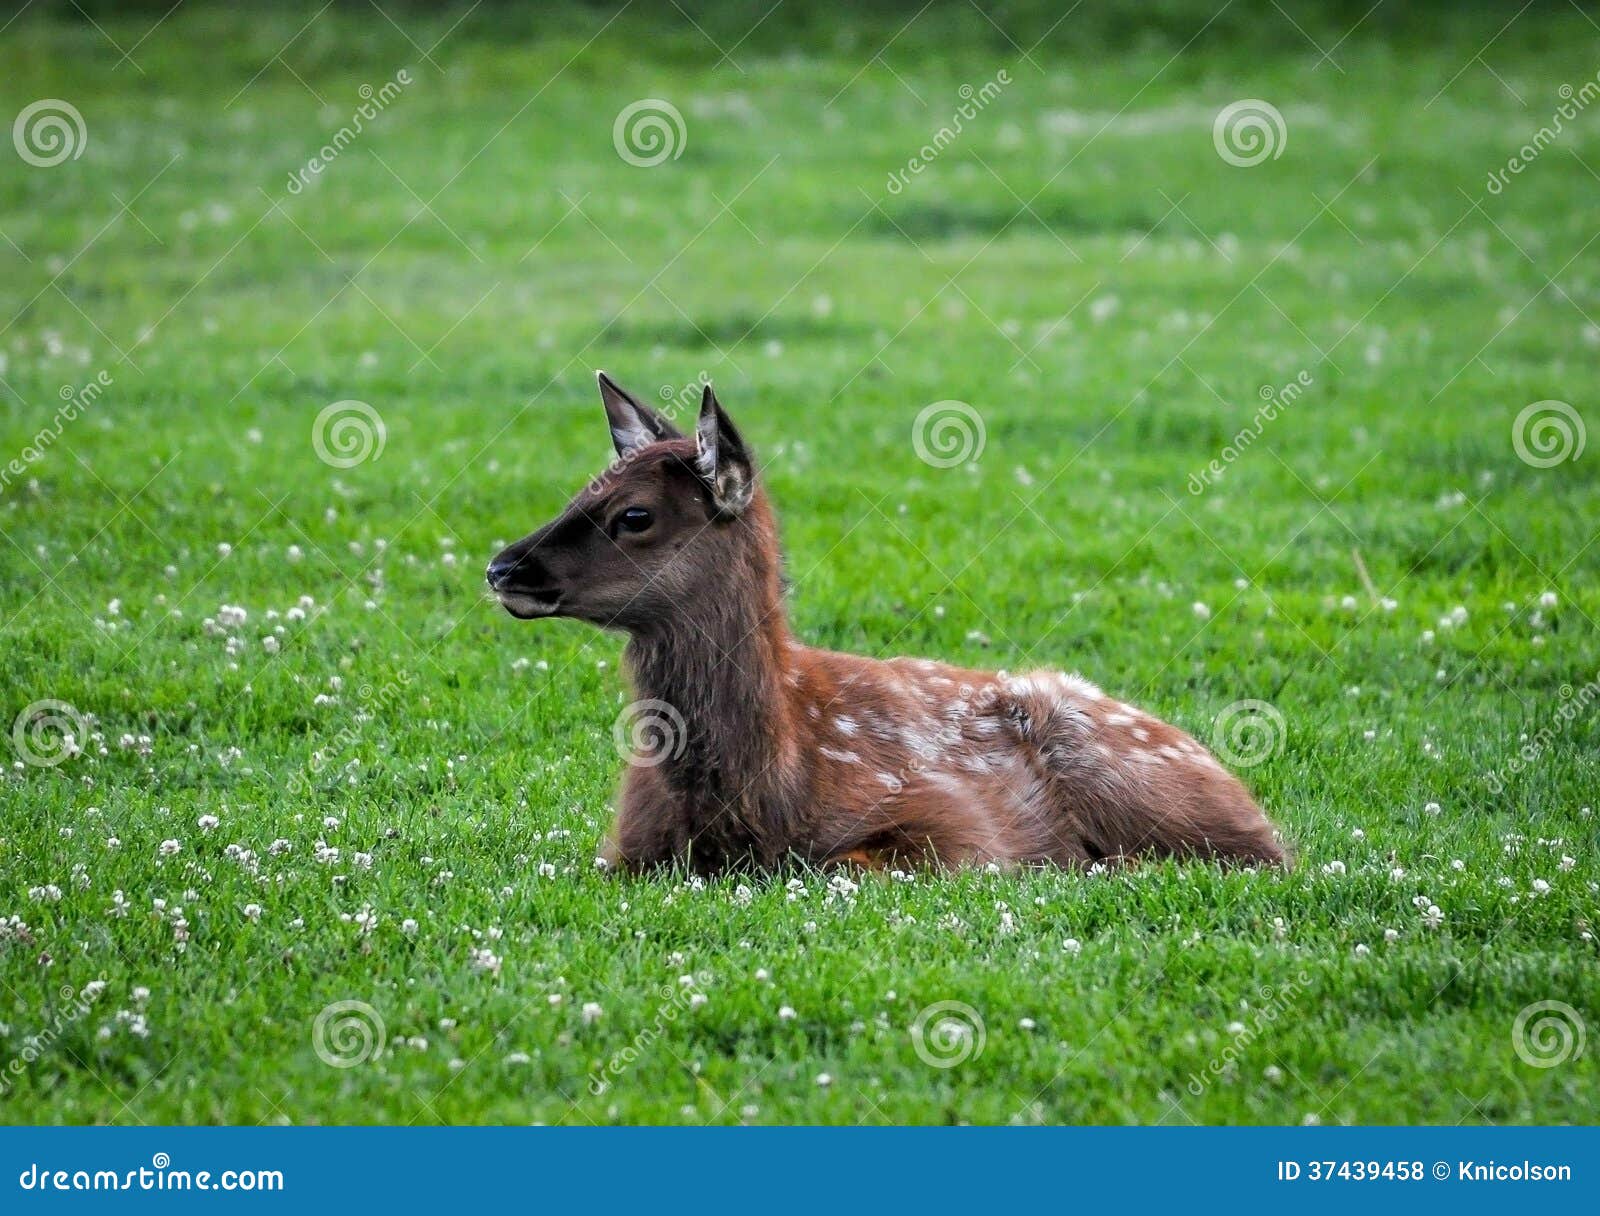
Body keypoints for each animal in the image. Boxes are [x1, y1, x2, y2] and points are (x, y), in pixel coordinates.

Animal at [486, 372, 1289, 876]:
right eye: (581, 490)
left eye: (635, 515)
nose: (502, 566)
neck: (762, 782)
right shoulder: (625, 848)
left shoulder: (951, 818)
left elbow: (841, 861)